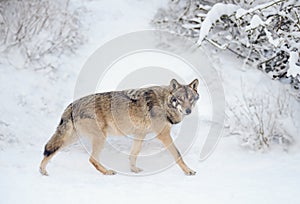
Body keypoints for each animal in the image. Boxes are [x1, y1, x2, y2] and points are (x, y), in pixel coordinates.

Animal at [39, 78, 199, 175]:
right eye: (180, 99)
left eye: (190, 99)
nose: (188, 111)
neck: (164, 103)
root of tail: (72, 105)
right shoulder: (163, 135)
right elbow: (178, 155)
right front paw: (189, 171)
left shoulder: (140, 135)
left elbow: (133, 154)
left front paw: (134, 169)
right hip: (100, 138)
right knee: (92, 159)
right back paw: (107, 172)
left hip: (72, 139)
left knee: (49, 150)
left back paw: (42, 171)